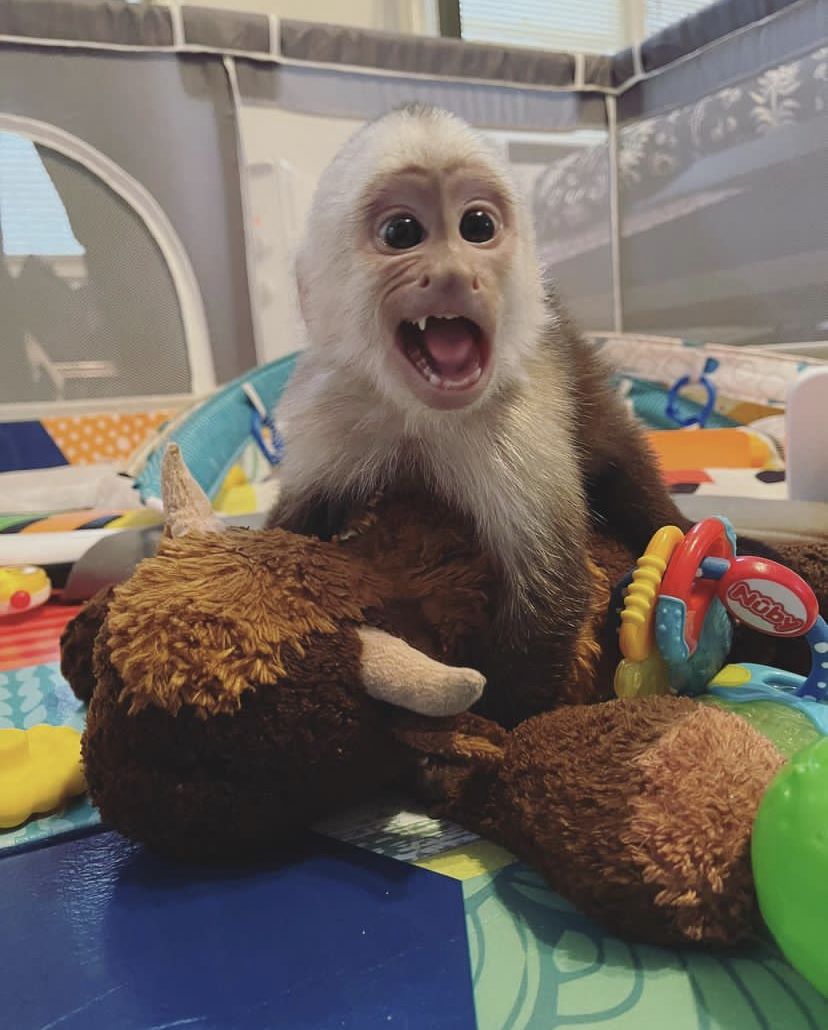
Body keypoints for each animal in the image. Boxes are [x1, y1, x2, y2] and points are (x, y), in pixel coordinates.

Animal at [266, 104, 693, 725]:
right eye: (402, 232)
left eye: (477, 227)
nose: (452, 273)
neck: (420, 415)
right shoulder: (335, 412)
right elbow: (293, 521)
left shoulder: (514, 421)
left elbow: (555, 591)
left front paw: (492, 719)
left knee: (627, 472)